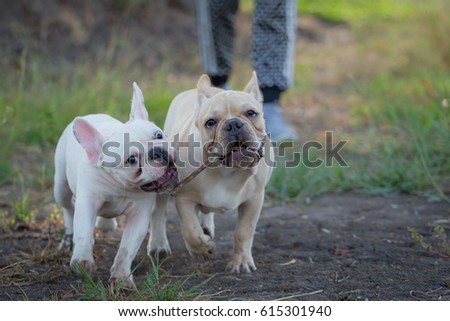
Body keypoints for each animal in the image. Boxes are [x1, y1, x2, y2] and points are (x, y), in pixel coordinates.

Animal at [53, 82, 177, 284]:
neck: (121, 185)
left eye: (159, 135)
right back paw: (67, 239)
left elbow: (127, 248)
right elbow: (83, 232)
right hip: (60, 188)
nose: (156, 152)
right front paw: (83, 261)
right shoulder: (88, 203)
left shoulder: (139, 215)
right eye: (131, 160)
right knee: (68, 211)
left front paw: (122, 276)